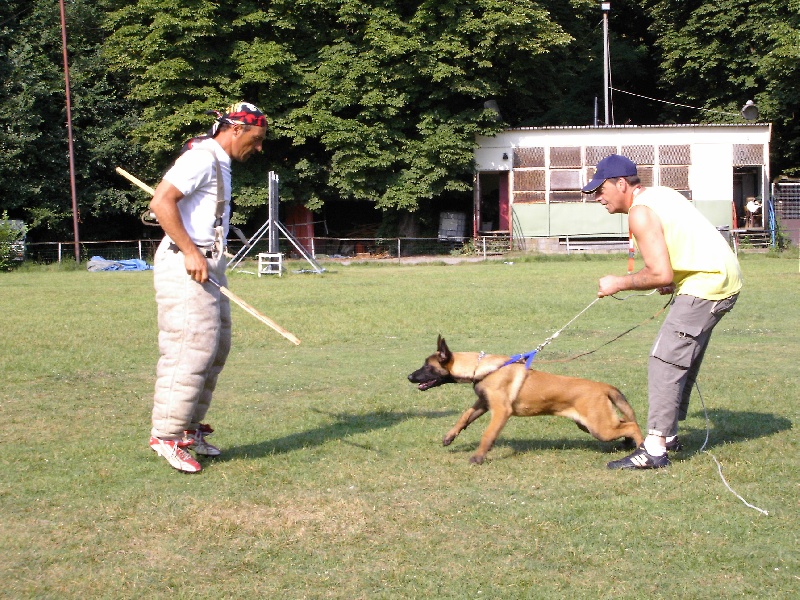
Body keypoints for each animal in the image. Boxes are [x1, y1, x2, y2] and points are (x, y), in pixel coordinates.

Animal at [410, 338, 640, 464]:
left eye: (427, 366)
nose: (409, 377)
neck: (480, 368)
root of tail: (603, 386)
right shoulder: (483, 403)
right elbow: (464, 417)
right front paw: (450, 437)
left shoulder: (501, 411)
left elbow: (488, 435)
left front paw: (478, 457)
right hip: (591, 424)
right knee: (625, 422)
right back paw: (628, 443)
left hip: (599, 427)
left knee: (632, 425)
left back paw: (639, 447)